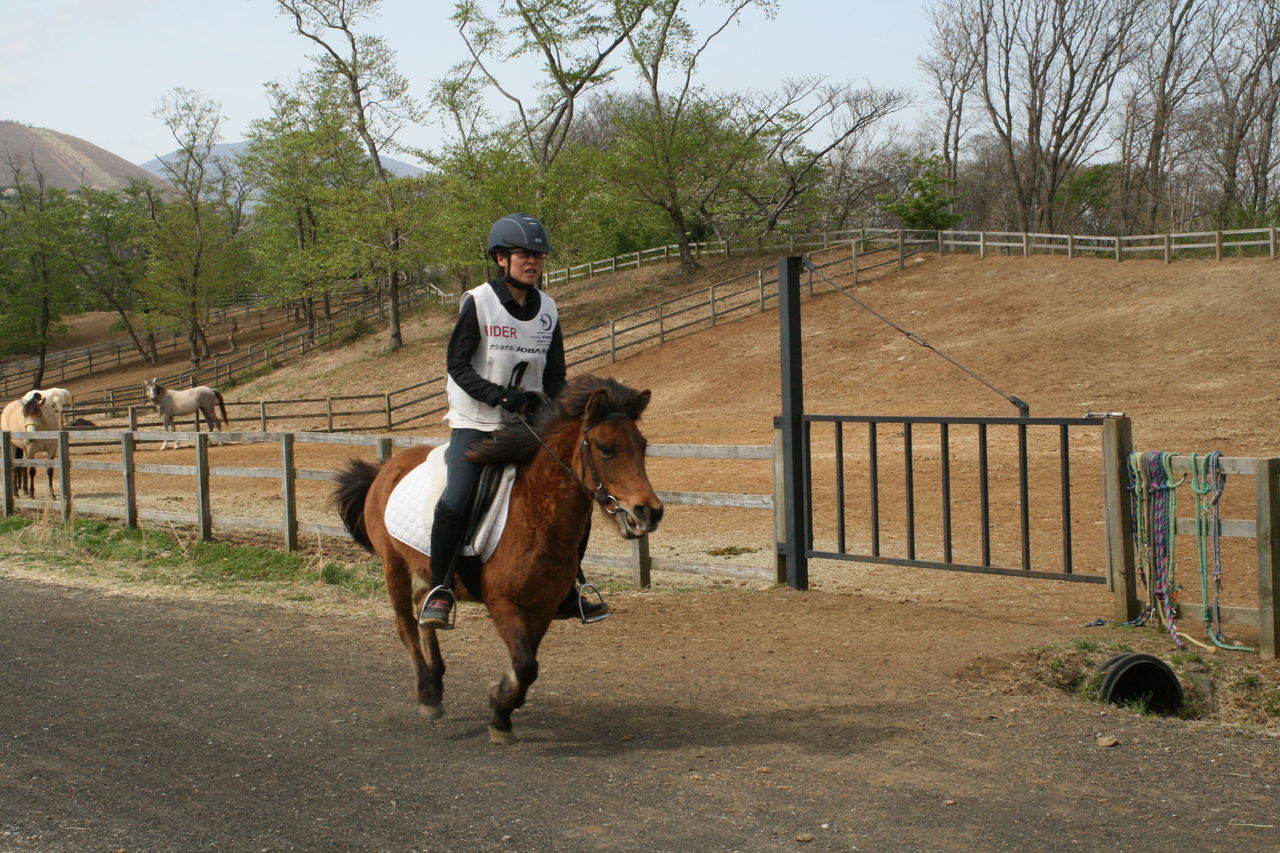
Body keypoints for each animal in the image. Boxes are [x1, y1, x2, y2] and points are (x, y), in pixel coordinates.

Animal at [332, 375, 664, 744]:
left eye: (642, 446)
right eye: (606, 448)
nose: (649, 512)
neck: (533, 511)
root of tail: (385, 468)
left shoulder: (543, 608)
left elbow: (528, 665)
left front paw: (501, 709)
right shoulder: (504, 606)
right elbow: (525, 665)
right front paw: (500, 708)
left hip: (439, 575)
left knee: (424, 604)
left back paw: (437, 669)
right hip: (394, 564)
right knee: (405, 623)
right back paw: (428, 693)